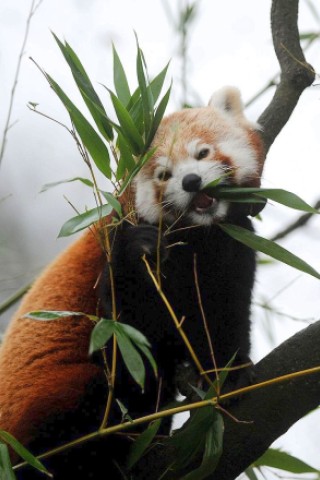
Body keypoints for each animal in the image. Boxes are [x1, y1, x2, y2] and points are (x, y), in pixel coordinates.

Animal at [0, 87, 264, 480]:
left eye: (202, 153)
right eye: (163, 174)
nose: (191, 182)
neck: (197, 237)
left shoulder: (230, 249)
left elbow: (223, 314)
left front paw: (228, 372)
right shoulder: (120, 253)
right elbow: (134, 332)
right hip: (48, 398)